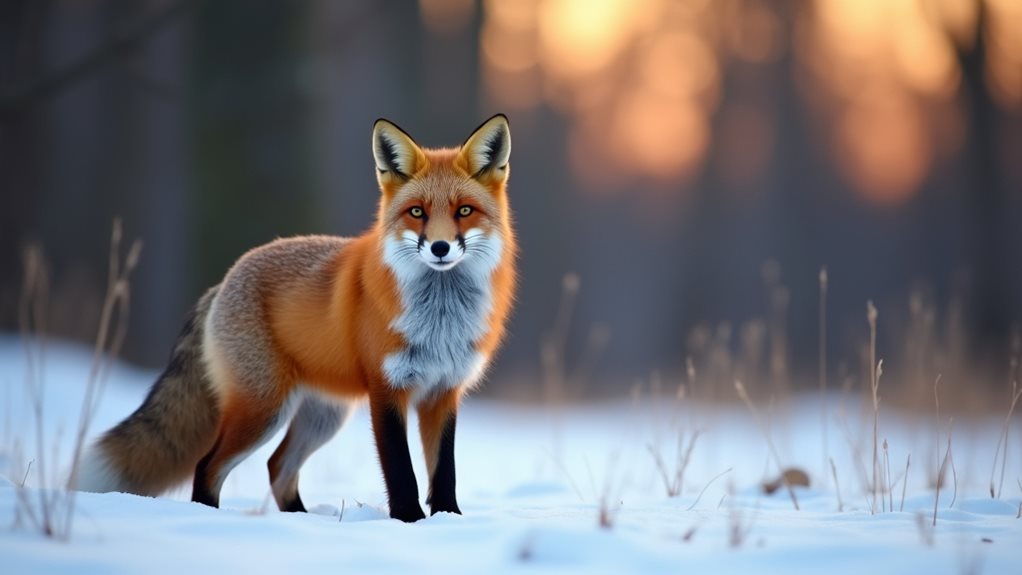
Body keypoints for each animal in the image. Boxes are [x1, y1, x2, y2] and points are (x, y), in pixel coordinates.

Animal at [75, 114, 517, 522]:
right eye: (417, 212)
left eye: (464, 211)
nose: (440, 248)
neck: (440, 319)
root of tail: (224, 281)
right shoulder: (387, 389)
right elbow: (400, 471)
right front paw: (409, 520)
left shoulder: (444, 391)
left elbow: (444, 472)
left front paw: (448, 520)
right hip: (264, 409)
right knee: (209, 466)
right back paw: (216, 520)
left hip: (322, 416)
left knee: (278, 467)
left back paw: (302, 523)